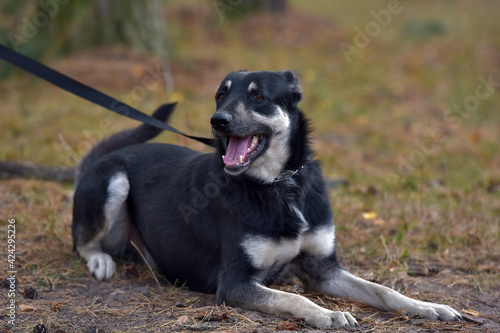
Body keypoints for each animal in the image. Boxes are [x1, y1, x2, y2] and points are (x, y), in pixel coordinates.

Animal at [72, 70, 462, 326]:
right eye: (221, 95)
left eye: (258, 96)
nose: (217, 120)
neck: (277, 184)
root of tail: (98, 161)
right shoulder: (235, 284)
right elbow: (294, 296)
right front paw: (328, 313)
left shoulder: (324, 270)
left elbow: (382, 290)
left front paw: (427, 306)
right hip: (114, 180)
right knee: (83, 242)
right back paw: (101, 260)